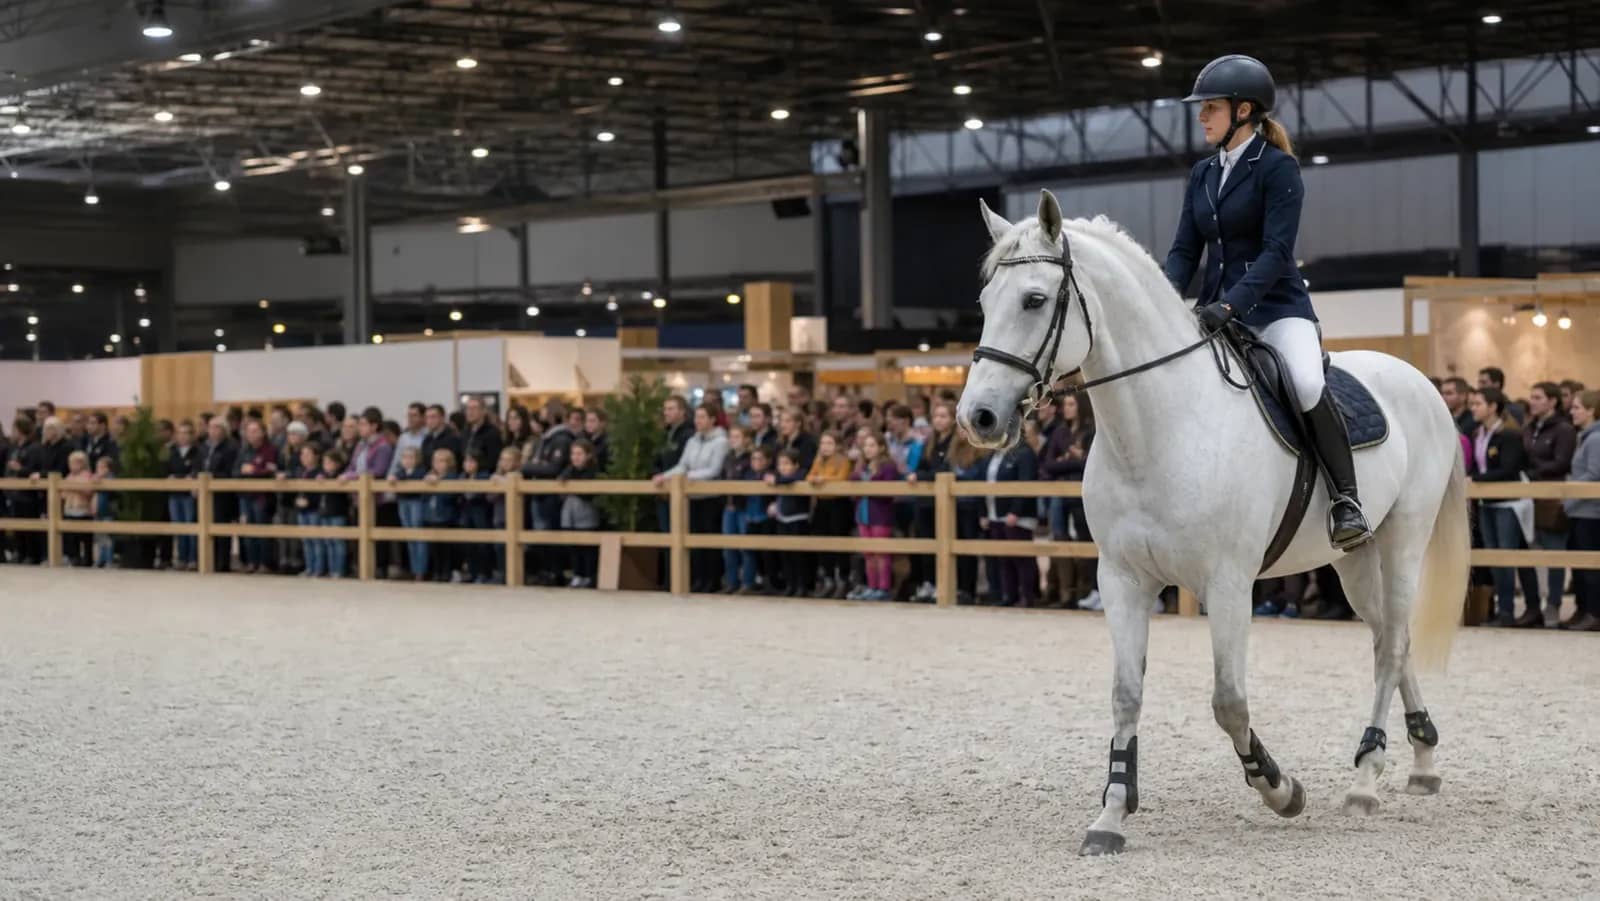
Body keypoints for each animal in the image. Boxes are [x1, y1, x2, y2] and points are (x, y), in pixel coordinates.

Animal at [955, 190, 1470, 856]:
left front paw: (1280, 788)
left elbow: (1228, 701)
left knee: (1393, 644)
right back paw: (1422, 760)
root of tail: (1417, 380)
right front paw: (1111, 815)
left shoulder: (1228, 584)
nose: (978, 418)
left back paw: (1366, 777)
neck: (1159, 428)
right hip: (1355, 559)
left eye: (1035, 300)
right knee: (1390, 635)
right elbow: (1126, 693)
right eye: (985, 303)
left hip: (1403, 541)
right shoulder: (1122, 580)